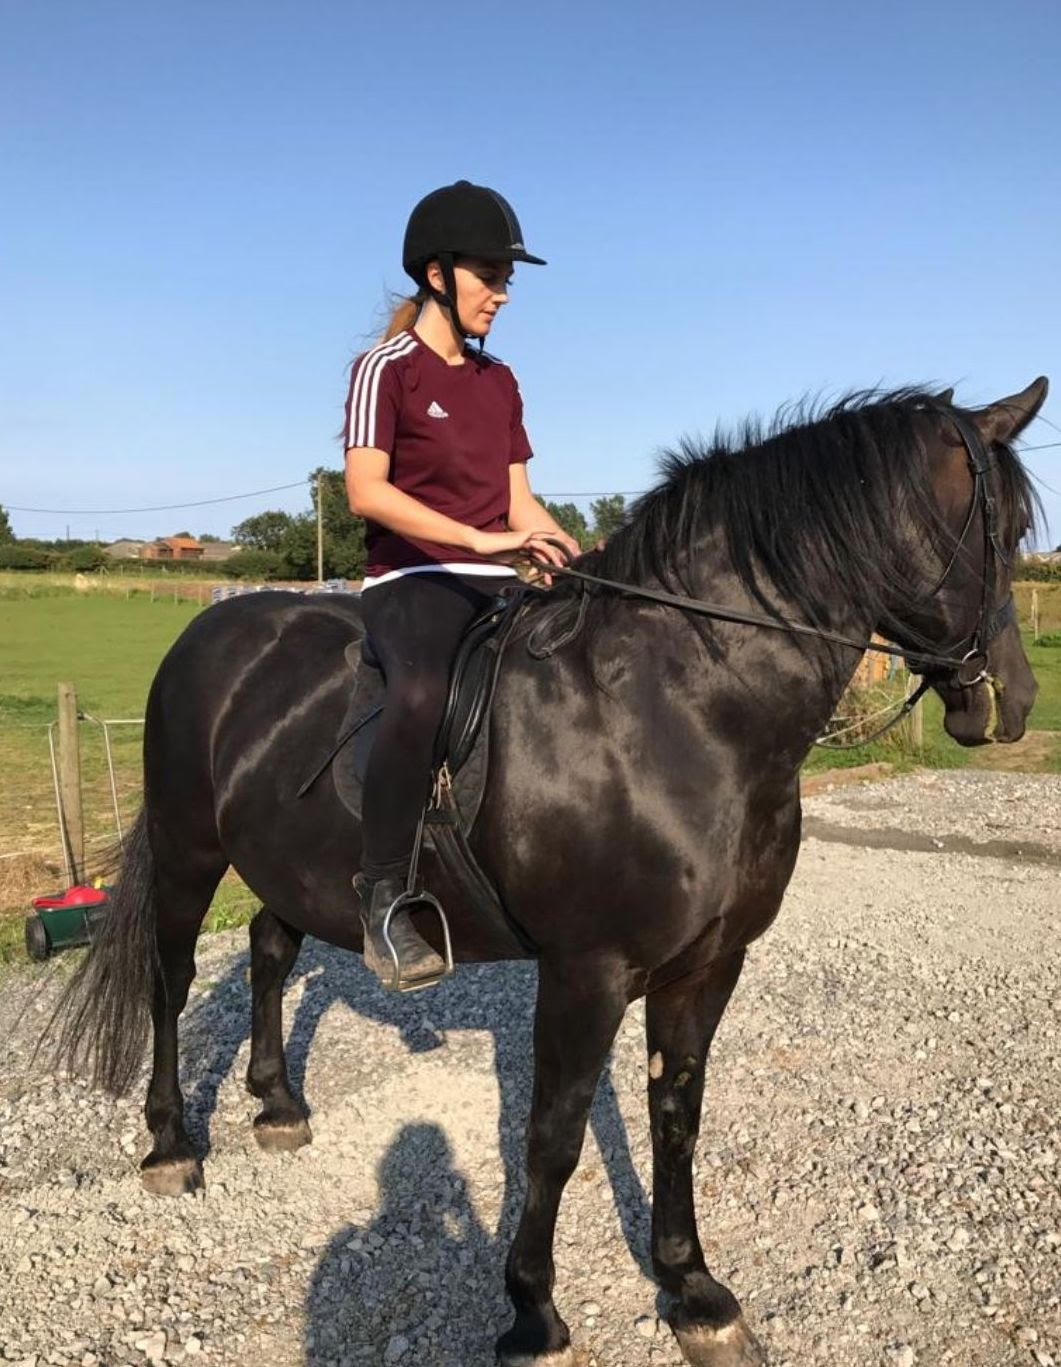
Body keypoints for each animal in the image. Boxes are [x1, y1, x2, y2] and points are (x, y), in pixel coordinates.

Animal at [50, 379, 1045, 1367]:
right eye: (998, 532)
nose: (1013, 701)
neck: (674, 707)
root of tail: (215, 625)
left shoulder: (708, 965)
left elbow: (676, 1116)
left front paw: (693, 1293)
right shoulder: (584, 972)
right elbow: (553, 1135)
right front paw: (533, 1312)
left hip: (288, 865)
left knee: (268, 949)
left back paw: (277, 1104)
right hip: (188, 849)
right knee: (171, 979)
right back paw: (172, 1145)